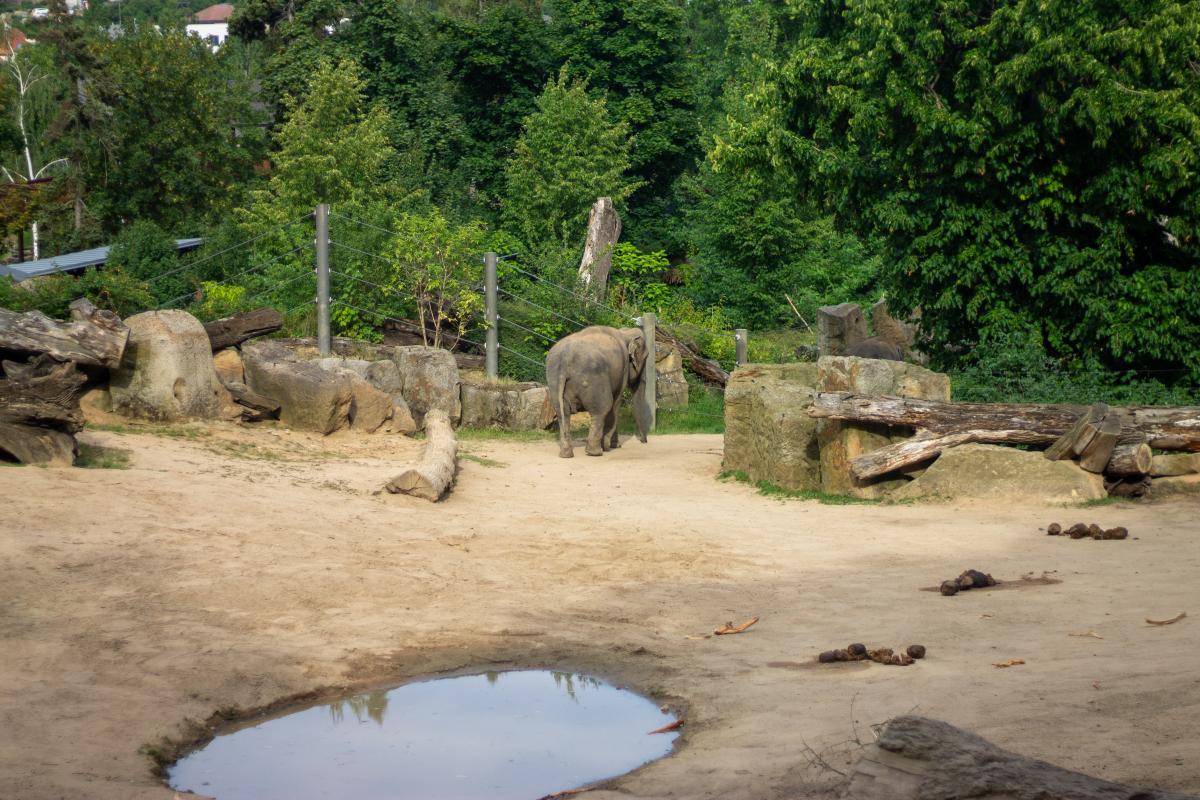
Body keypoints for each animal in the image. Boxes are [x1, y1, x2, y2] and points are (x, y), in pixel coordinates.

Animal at [545, 326, 652, 458]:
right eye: (646, 357)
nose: (644, 441)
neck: (624, 332)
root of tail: (566, 357)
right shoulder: (623, 369)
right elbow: (616, 403)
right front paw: (612, 446)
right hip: (593, 378)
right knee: (603, 408)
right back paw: (595, 452)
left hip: (554, 379)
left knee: (563, 413)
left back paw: (566, 454)